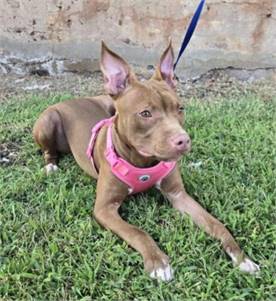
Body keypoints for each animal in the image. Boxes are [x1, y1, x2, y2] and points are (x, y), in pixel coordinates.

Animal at [33, 41, 260, 280]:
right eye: (145, 113)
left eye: (180, 108)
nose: (184, 140)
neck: (143, 162)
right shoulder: (104, 208)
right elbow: (137, 232)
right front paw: (158, 262)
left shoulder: (178, 195)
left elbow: (216, 224)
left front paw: (241, 258)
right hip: (48, 121)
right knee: (48, 150)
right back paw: (51, 166)